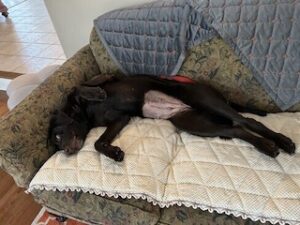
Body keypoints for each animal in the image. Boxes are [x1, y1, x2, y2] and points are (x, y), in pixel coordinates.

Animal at [48, 74, 296, 161]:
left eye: (58, 137)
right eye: (57, 145)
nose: (67, 152)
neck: (87, 115)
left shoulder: (105, 78)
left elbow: (78, 87)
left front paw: (96, 93)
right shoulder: (120, 120)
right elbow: (99, 142)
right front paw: (114, 153)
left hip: (206, 100)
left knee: (248, 122)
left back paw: (281, 142)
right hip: (197, 123)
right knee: (237, 130)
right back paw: (267, 147)